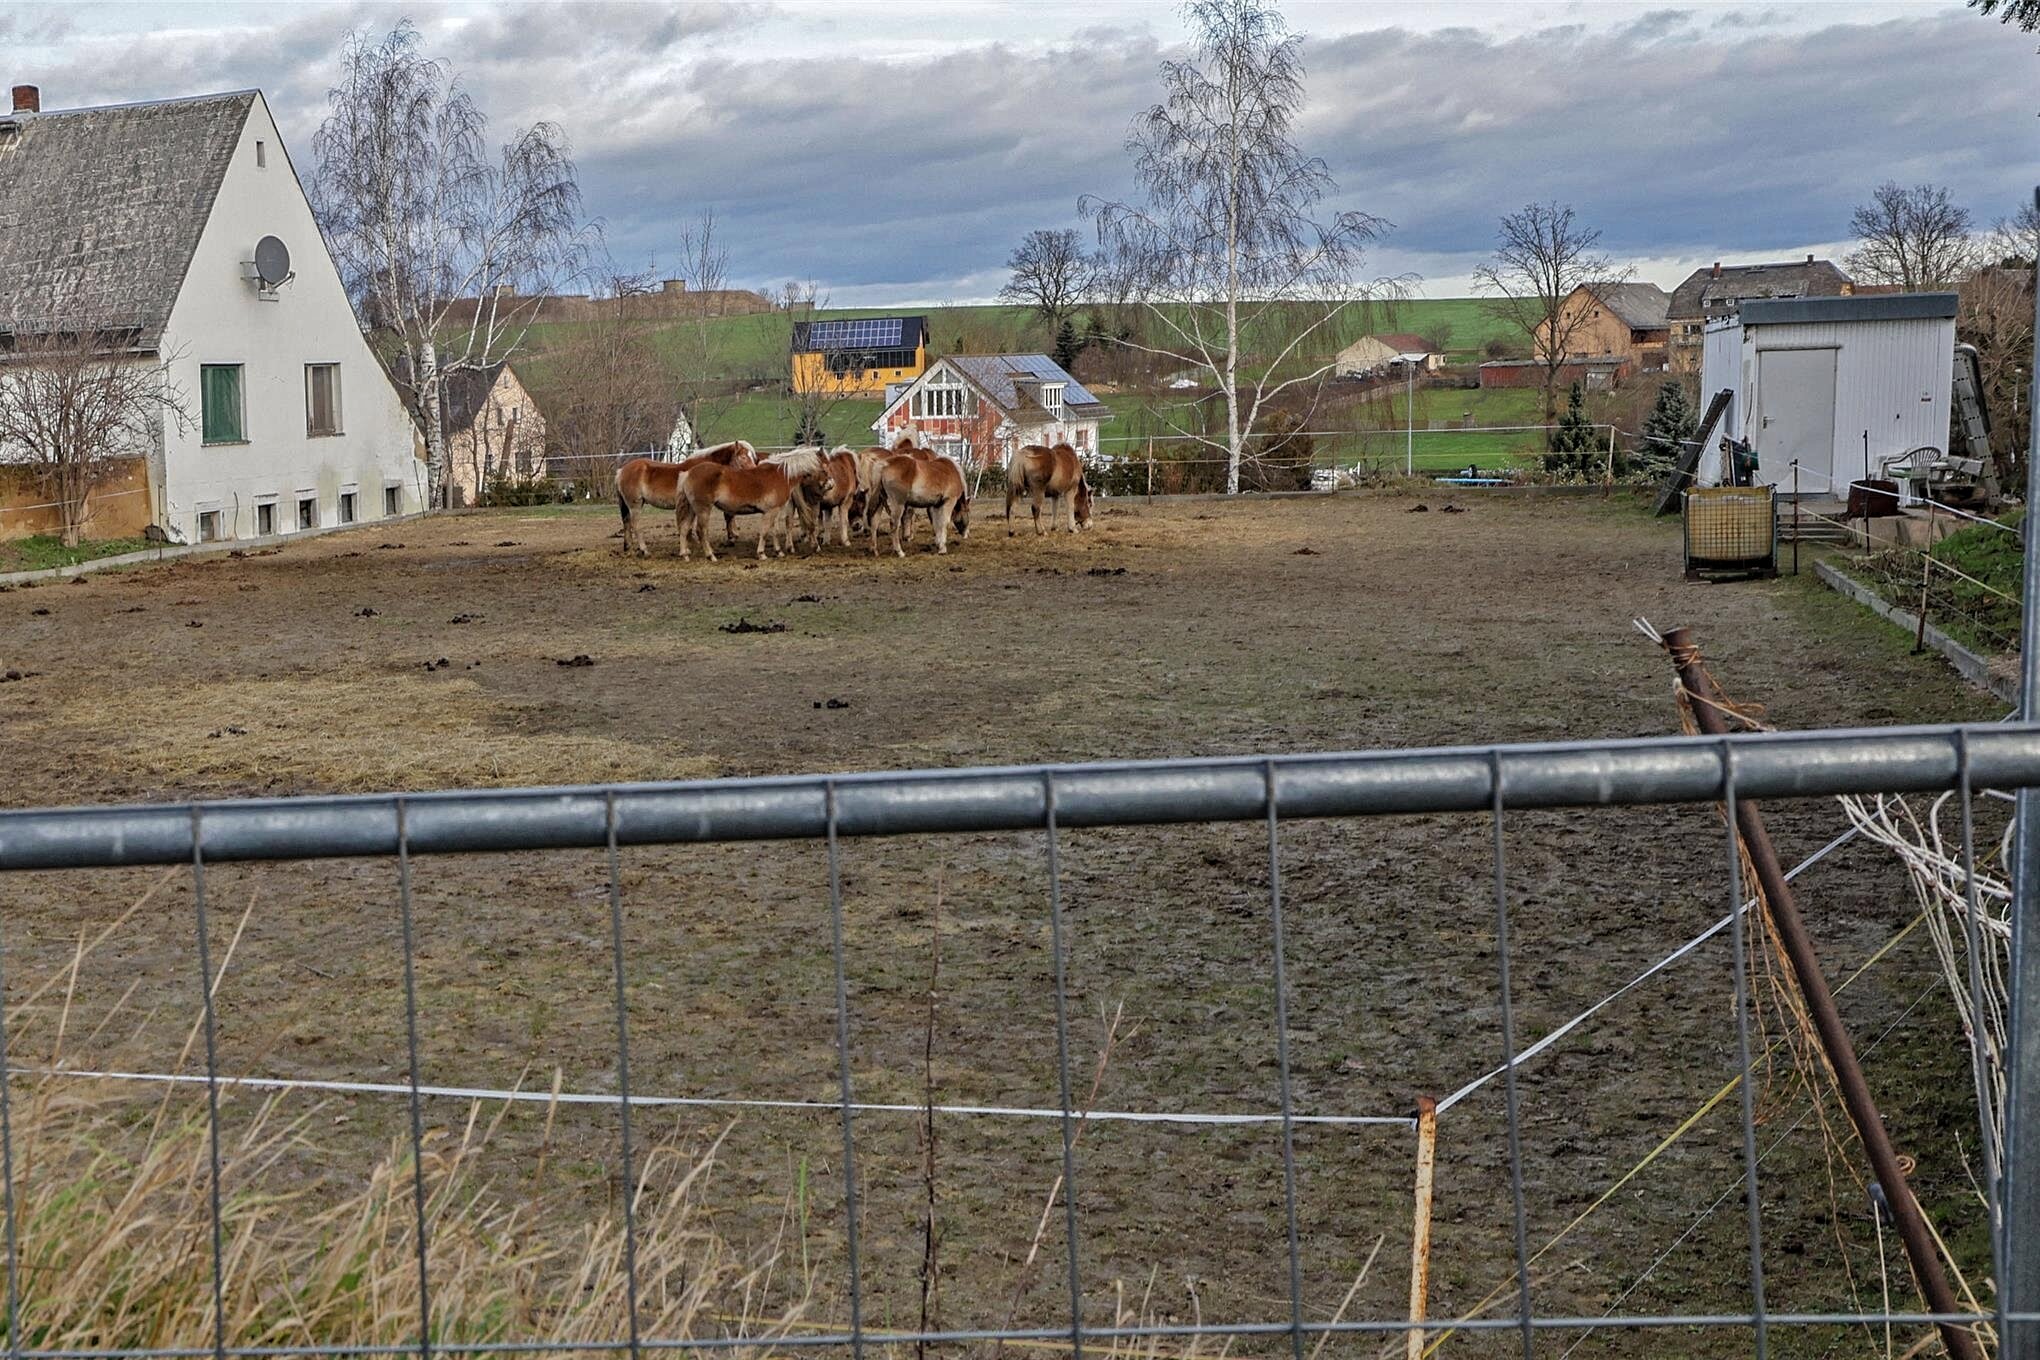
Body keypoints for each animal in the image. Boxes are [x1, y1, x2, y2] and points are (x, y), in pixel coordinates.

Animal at [673, 448, 824, 562]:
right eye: (824, 465)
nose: (827, 483)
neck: (780, 474)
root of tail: (688, 473)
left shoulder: (775, 511)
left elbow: (773, 531)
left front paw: (778, 551)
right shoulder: (771, 511)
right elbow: (764, 531)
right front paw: (762, 554)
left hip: (692, 510)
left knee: (684, 528)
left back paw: (685, 555)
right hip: (703, 510)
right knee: (701, 531)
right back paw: (711, 556)